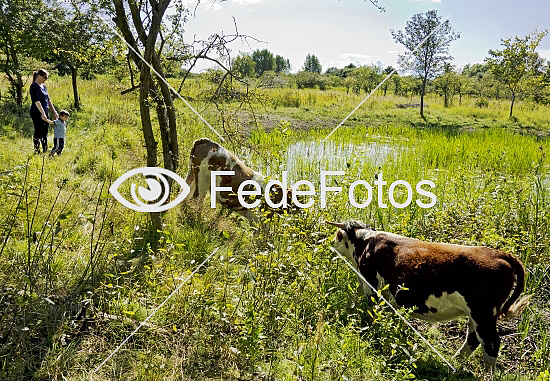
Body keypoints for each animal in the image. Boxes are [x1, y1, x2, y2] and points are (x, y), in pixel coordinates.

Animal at [328, 218, 536, 370]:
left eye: (337, 235)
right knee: (474, 339)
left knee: (490, 344)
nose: (331, 243)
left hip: (482, 313)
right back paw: (456, 360)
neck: (366, 242)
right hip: (477, 315)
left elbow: (371, 313)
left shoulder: (370, 285)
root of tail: (500, 254)